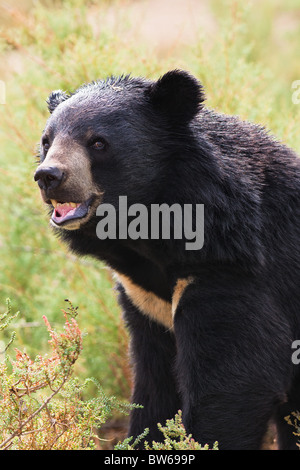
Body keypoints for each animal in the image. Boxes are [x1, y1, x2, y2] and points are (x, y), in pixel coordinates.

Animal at [34, 70, 300, 452]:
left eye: (98, 142)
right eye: (46, 140)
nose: (49, 176)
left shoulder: (233, 269)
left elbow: (237, 380)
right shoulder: (144, 297)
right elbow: (156, 386)